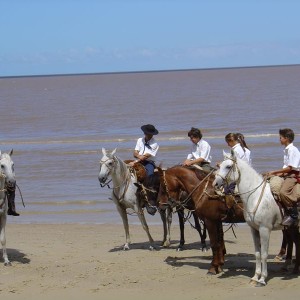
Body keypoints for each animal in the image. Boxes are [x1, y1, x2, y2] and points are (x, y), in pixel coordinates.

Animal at [213, 152, 300, 286]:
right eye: (220, 165)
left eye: (228, 166)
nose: (215, 184)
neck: (255, 195)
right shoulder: (254, 229)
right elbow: (258, 254)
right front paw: (255, 277)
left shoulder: (265, 229)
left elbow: (264, 254)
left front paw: (262, 279)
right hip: (291, 228)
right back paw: (294, 269)